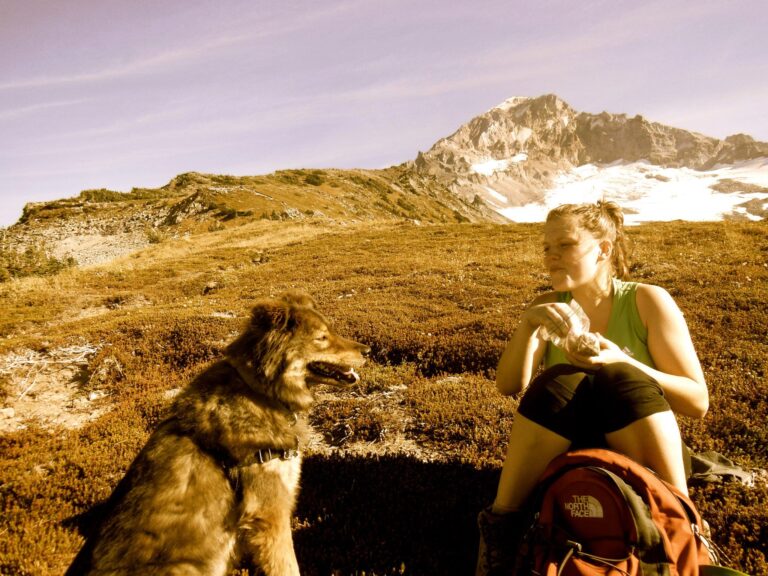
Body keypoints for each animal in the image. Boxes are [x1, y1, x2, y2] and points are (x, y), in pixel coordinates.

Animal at [64, 294, 370, 572]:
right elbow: (287, 567)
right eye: (322, 338)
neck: (261, 392)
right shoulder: (270, 513)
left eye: (330, 331)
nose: (367, 351)